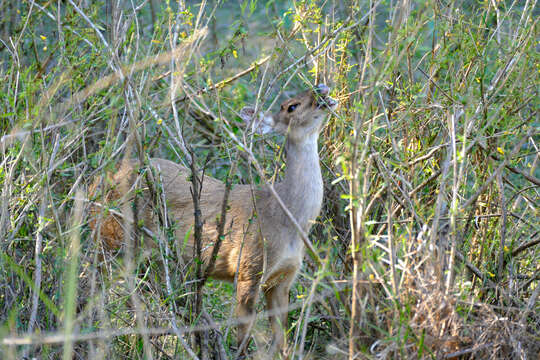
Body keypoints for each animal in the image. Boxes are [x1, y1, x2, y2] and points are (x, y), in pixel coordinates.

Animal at [89, 83, 338, 356]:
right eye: (291, 106)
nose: (322, 89)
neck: (287, 217)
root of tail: (95, 181)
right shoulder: (248, 266)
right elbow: (243, 340)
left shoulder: (284, 279)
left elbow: (283, 343)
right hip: (116, 238)